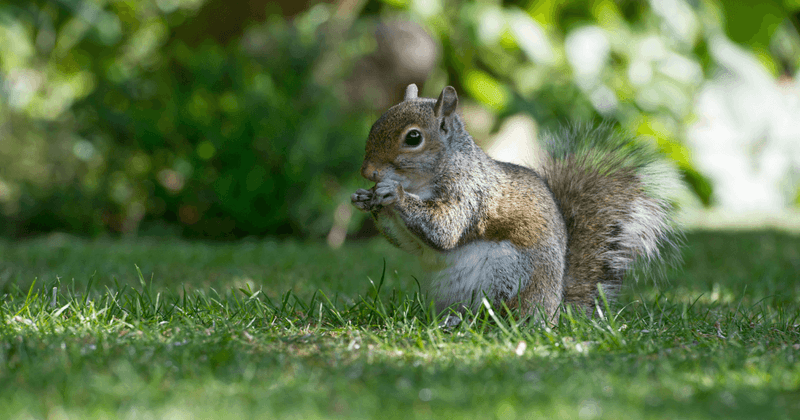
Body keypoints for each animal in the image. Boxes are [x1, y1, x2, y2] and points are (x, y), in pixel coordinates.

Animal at [351, 84, 682, 321]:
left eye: (413, 138)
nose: (367, 172)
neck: (422, 182)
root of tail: (553, 311)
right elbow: (410, 243)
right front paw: (365, 198)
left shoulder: (470, 193)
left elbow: (445, 229)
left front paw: (394, 194)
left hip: (510, 277)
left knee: (503, 313)